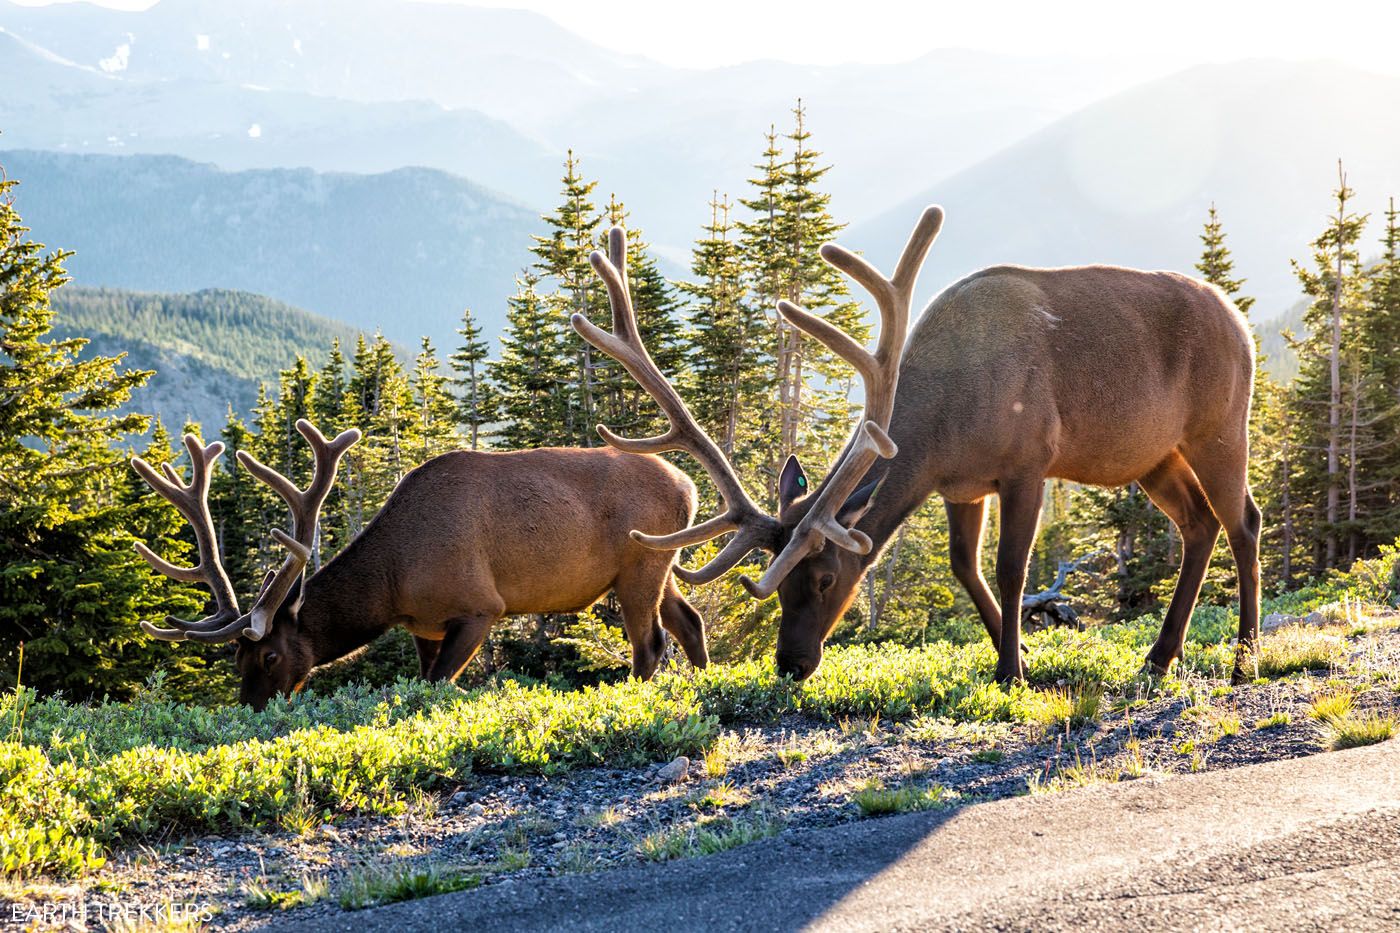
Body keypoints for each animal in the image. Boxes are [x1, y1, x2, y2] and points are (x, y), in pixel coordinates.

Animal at [128, 420, 711, 706]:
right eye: (236, 661)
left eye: (270, 656)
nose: (249, 709)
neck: (394, 584)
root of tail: (691, 486)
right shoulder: (423, 626)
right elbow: (427, 677)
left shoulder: (480, 607)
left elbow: (438, 686)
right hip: (661, 562)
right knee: (689, 620)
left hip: (641, 563)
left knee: (651, 641)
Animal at [571, 205, 1260, 683]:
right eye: (780, 584)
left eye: (825, 577)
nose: (790, 664)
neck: (944, 426)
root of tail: (1239, 318)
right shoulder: (962, 484)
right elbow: (964, 568)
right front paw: (1018, 649)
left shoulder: (1028, 462)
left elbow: (1012, 569)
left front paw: (1012, 672)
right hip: (1154, 454)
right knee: (1199, 524)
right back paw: (1160, 656)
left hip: (1220, 425)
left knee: (1243, 520)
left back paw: (1244, 657)